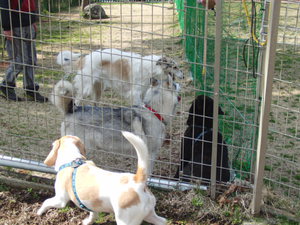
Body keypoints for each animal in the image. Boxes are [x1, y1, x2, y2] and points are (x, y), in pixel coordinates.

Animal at [37, 133, 166, 225]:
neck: (72, 160)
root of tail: (138, 180)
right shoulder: (91, 205)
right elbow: (93, 214)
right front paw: (88, 222)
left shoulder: (60, 200)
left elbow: (46, 202)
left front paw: (39, 212)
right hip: (150, 215)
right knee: (162, 221)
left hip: (125, 221)